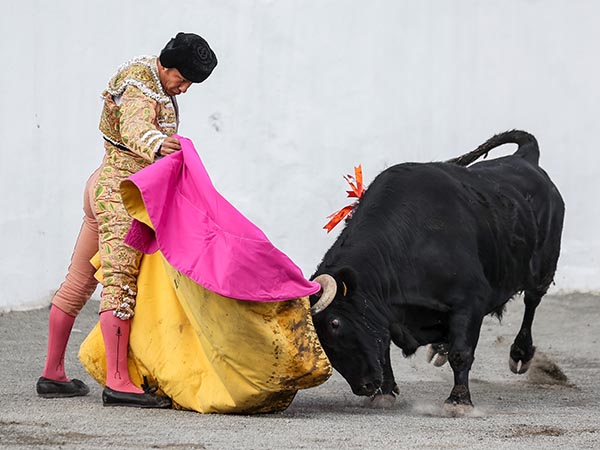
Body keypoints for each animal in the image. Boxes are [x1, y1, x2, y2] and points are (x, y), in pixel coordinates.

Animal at [312, 128, 564, 410]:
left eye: (335, 323)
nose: (364, 387)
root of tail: (525, 158)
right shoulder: (384, 311)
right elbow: (384, 349)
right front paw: (385, 392)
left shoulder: (470, 300)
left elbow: (461, 353)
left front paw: (459, 401)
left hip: (542, 269)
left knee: (532, 302)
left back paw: (520, 354)